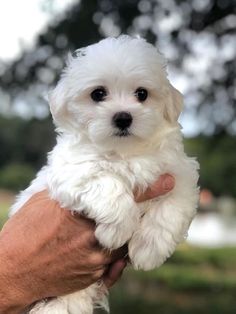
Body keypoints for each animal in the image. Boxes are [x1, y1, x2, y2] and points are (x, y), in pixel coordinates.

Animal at [11, 35, 199, 312]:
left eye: (142, 94)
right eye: (98, 94)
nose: (123, 117)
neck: (124, 152)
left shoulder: (179, 174)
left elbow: (172, 208)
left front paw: (149, 249)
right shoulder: (72, 170)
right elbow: (106, 181)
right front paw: (118, 229)